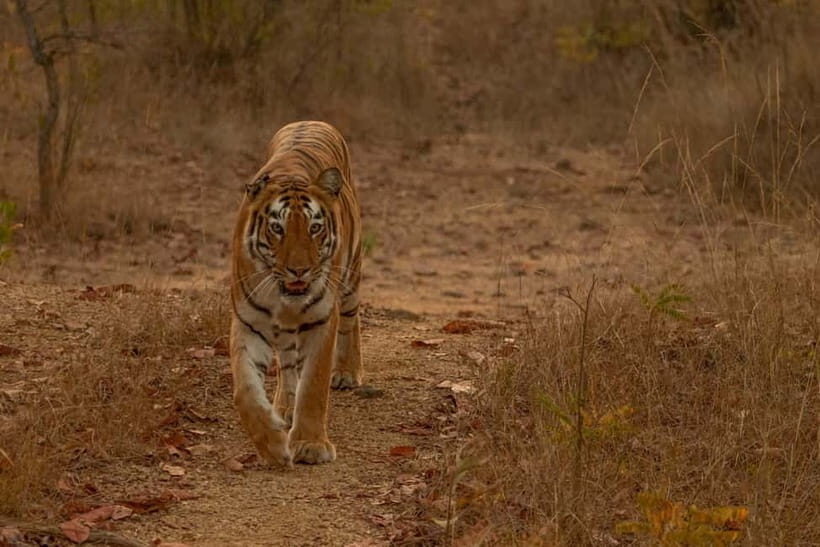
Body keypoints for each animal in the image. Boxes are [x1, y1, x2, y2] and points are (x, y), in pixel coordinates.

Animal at [230, 121, 362, 466]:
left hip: (351, 278)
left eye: (315, 228)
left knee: (351, 321)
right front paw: (272, 445)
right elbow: (245, 390)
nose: (299, 271)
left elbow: (313, 385)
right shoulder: (248, 322)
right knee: (289, 365)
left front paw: (311, 445)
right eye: (278, 228)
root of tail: (312, 120)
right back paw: (285, 408)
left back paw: (347, 372)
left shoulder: (321, 319)